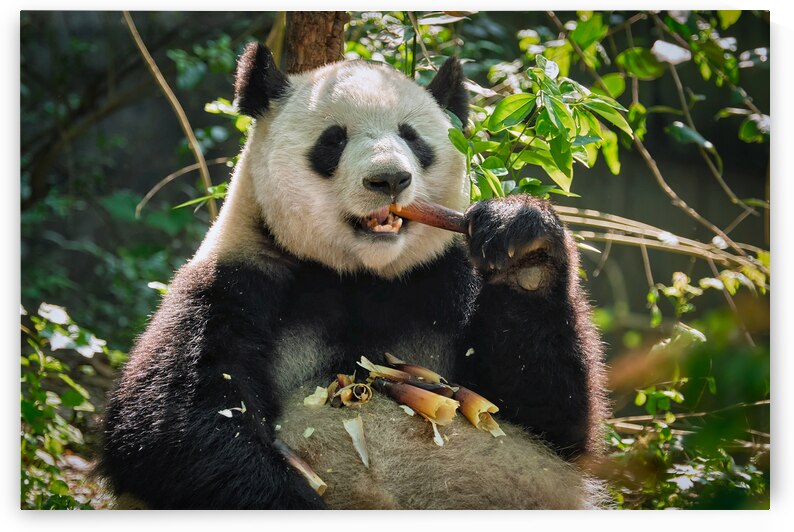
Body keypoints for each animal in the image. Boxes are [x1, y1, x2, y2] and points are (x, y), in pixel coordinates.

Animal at [99, 42, 610, 510]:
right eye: (334, 139)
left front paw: (523, 245)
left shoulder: (445, 277)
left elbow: (546, 415)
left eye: (413, 138)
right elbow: (175, 427)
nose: (389, 180)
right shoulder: (236, 281)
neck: (361, 274)